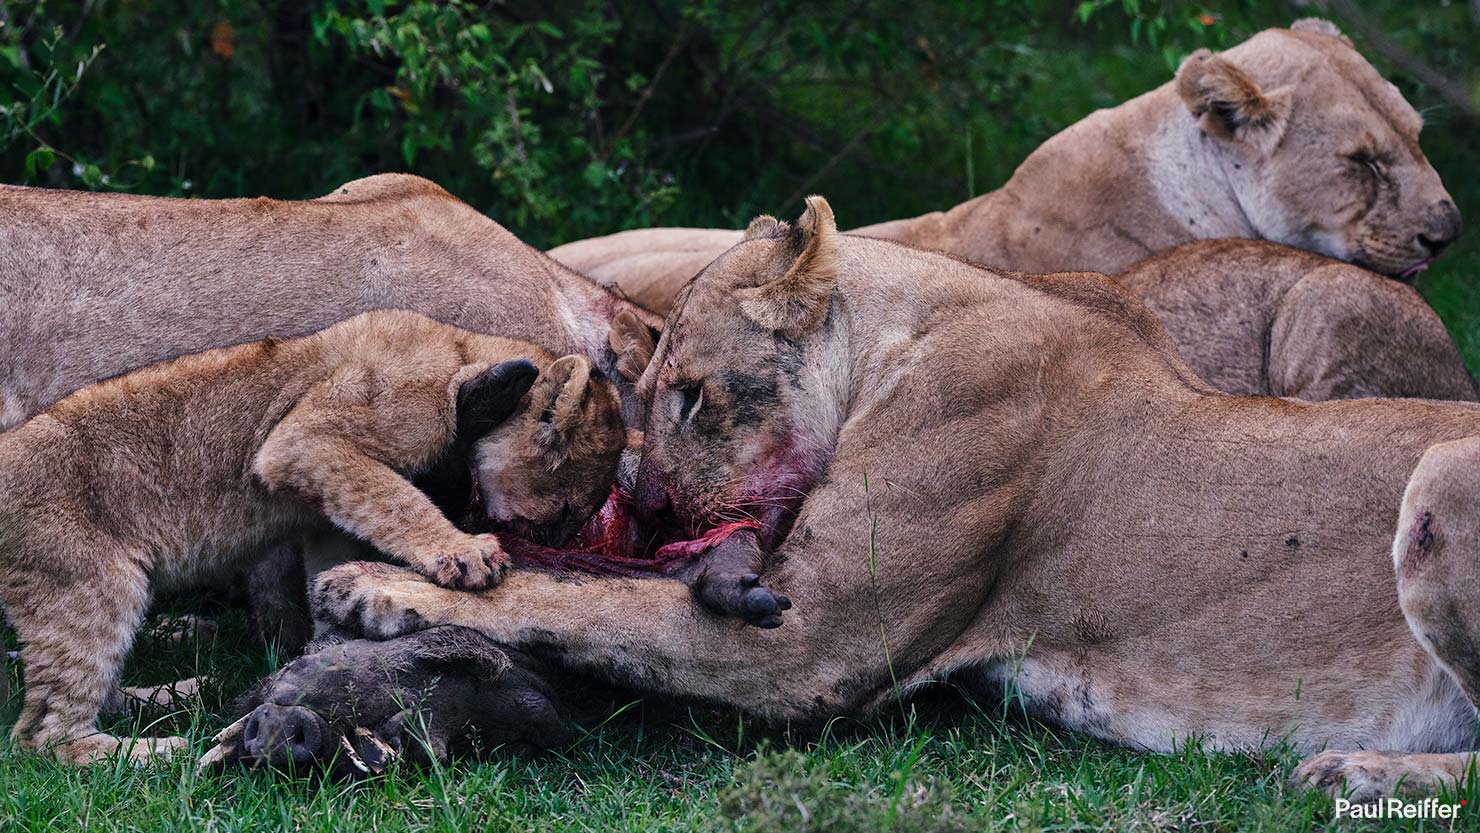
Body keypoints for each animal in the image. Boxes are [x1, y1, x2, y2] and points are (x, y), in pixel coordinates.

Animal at [0, 310, 629, 764]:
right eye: (567, 508)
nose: (554, 544)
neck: (461, 351)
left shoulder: (327, 510)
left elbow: (340, 553)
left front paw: (335, 633)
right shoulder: (311, 437)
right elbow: (396, 496)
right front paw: (463, 552)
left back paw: (173, 694)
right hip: (88, 584)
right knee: (41, 735)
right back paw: (149, 750)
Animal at [318, 197, 1480, 802]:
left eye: (690, 393)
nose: (641, 501)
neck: (905, 333)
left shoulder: (810, 644)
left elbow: (572, 591)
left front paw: (375, 585)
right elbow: (592, 579)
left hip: (1436, 474)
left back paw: (1358, 768)